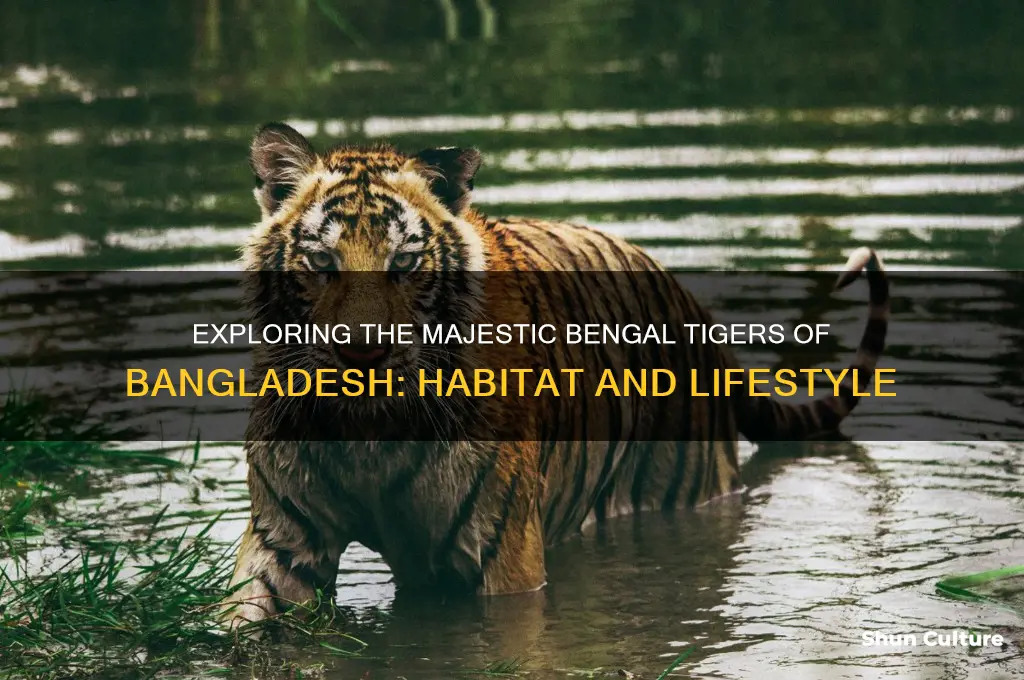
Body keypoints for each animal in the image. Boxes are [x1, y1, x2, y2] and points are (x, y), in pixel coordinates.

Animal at [221, 122, 889, 629]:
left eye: (405, 263)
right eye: (320, 261)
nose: (362, 353)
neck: (370, 436)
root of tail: (693, 306)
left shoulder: (501, 555)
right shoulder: (284, 539)